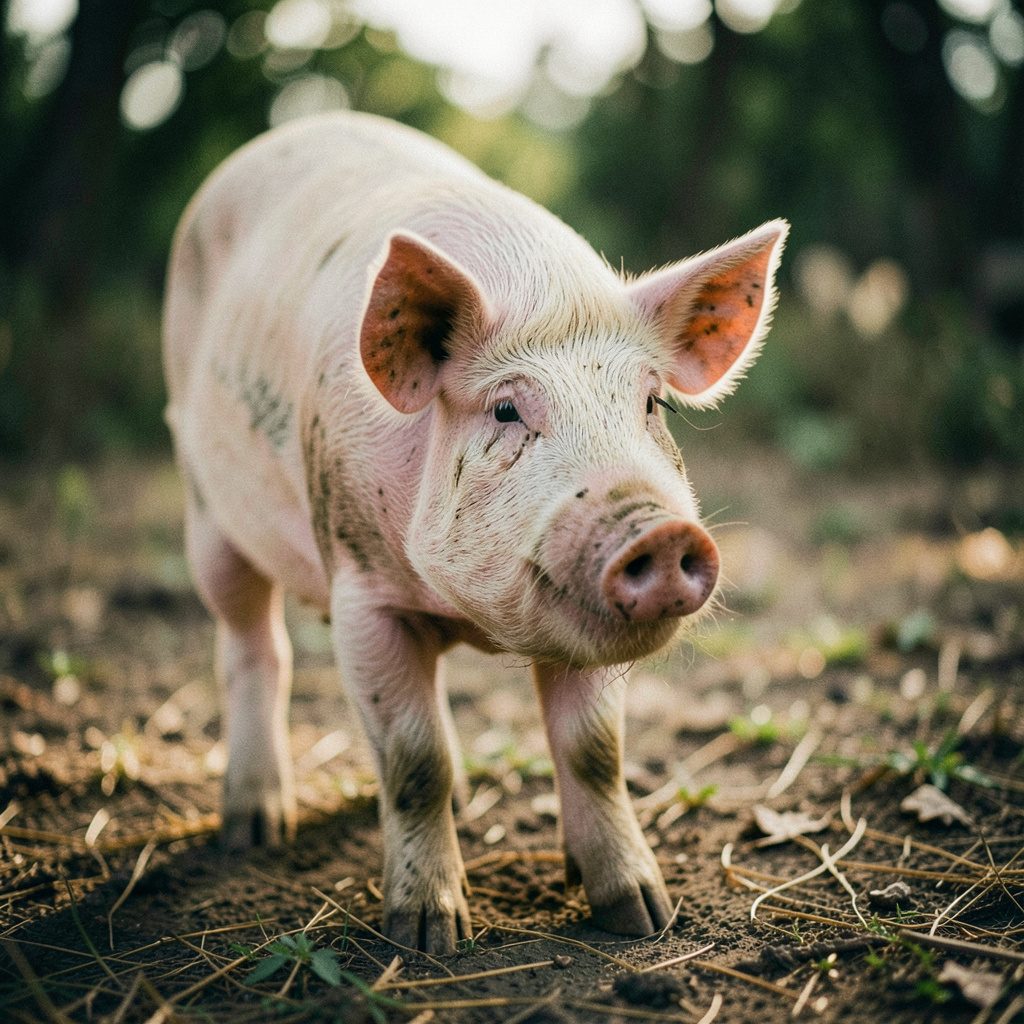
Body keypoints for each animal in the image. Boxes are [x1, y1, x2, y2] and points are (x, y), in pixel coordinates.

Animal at [163, 110, 787, 954]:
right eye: (506, 410)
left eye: (652, 403)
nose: (654, 531)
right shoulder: (361, 588)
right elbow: (412, 758)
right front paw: (428, 937)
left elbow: (596, 754)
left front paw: (644, 916)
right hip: (204, 502)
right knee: (252, 643)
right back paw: (253, 830)